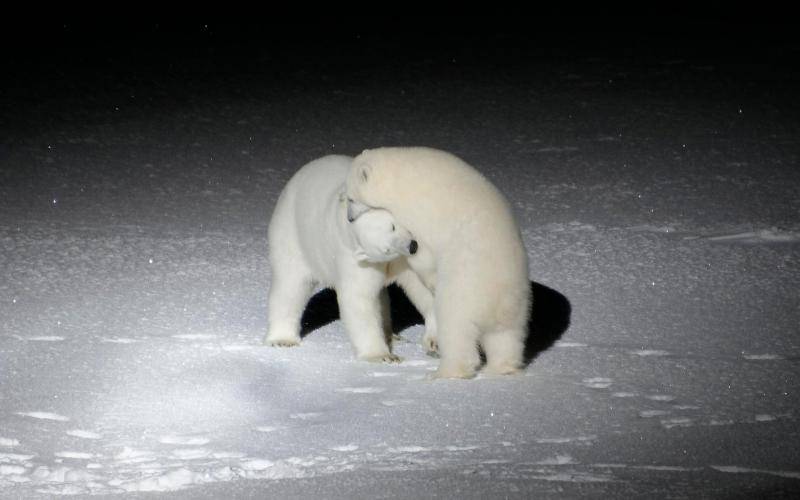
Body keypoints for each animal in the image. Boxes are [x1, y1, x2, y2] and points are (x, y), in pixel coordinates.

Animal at [268, 154, 422, 362]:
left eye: (393, 226)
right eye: (386, 249)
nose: (412, 246)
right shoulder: (355, 259)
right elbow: (359, 299)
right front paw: (383, 356)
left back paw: (392, 334)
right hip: (292, 235)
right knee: (291, 285)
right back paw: (282, 339)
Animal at [346, 147, 528, 378]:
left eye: (351, 198)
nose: (349, 218)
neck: (402, 177)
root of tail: (497, 299)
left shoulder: (418, 210)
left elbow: (420, 251)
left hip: (465, 288)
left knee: (455, 327)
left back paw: (446, 372)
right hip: (517, 304)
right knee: (506, 337)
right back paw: (502, 368)